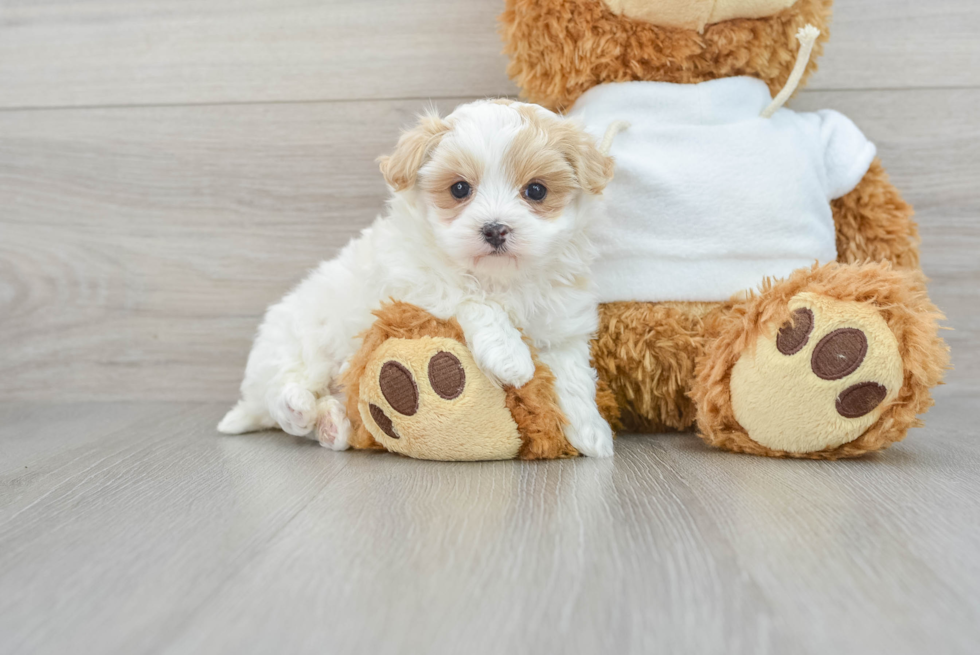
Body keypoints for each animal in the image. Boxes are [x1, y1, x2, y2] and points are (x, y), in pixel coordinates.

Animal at [219, 100, 616, 458]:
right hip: (299, 343)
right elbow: (471, 298)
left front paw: (591, 433)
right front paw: (509, 355)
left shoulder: (563, 324)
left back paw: (331, 426)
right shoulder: (413, 281)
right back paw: (297, 406)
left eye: (536, 190)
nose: (495, 229)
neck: (500, 278)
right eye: (459, 189)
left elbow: (574, 375)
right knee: (280, 393)